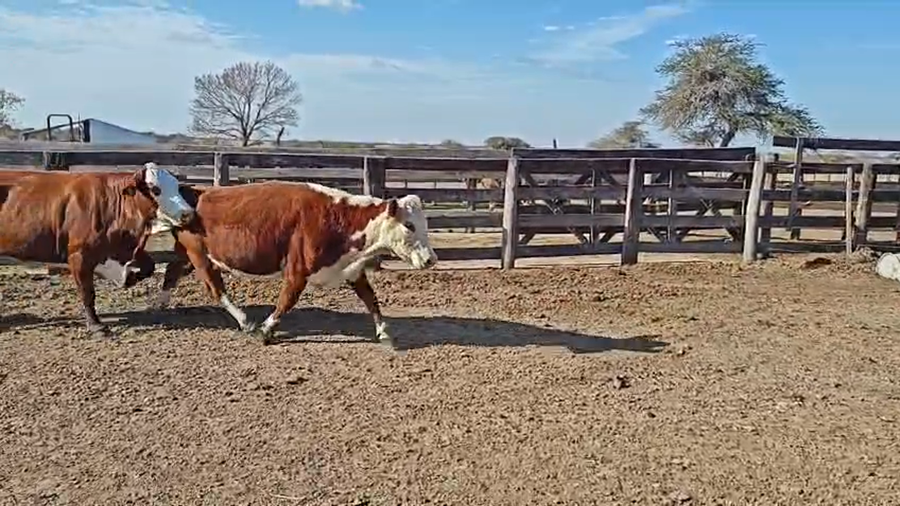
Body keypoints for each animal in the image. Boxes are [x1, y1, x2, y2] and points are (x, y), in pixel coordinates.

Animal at [0, 163, 195, 336]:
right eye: (155, 189)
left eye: (177, 187)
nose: (188, 214)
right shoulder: (79, 256)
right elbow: (88, 293)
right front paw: (96, 326)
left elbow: (149, 266)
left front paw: (129, 278)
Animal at [145, 181, 438, 344]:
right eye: (409, 225)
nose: (430, 259)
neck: (337, 217)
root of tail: (192, 191)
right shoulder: (298, 270)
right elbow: (287, 300)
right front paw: (265, 331)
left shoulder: (352, 269)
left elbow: (370, 298)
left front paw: (384, 331)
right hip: (199, 255)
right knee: (216, 289)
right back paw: (245, 322)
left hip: (188, 254)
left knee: (171, 271)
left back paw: (161, 305)